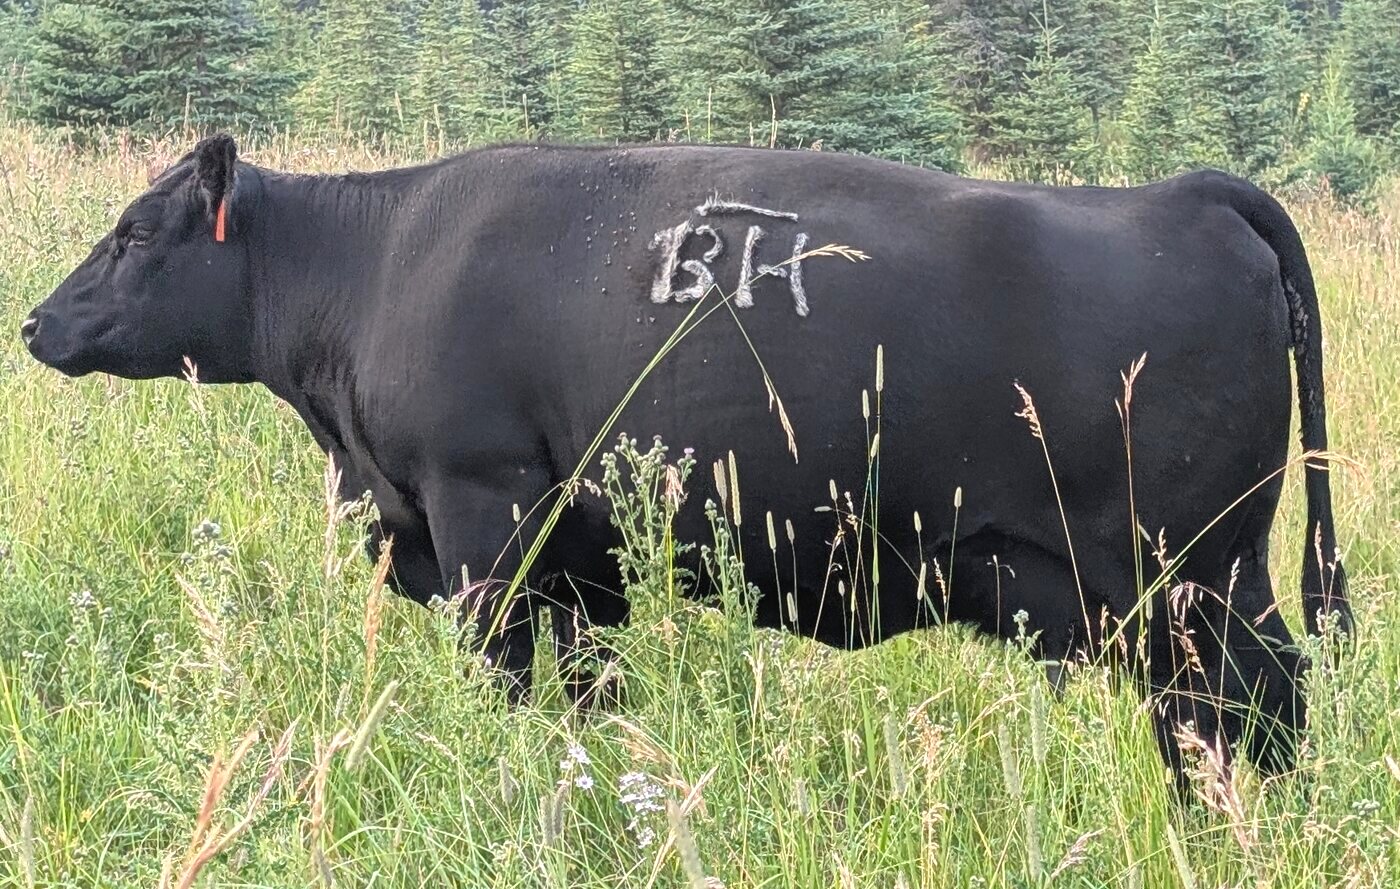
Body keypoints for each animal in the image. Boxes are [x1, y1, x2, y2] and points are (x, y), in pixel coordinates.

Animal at [21, 134, 1352, 783]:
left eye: (131, 232)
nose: (34, 323)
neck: (374, 258)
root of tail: (1181, 196)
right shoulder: (578, 570)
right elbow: (587, 697)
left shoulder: (482, 517)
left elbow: (512, 682)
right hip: (1189, 582)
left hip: (1189, 573)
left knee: (1251, 705)